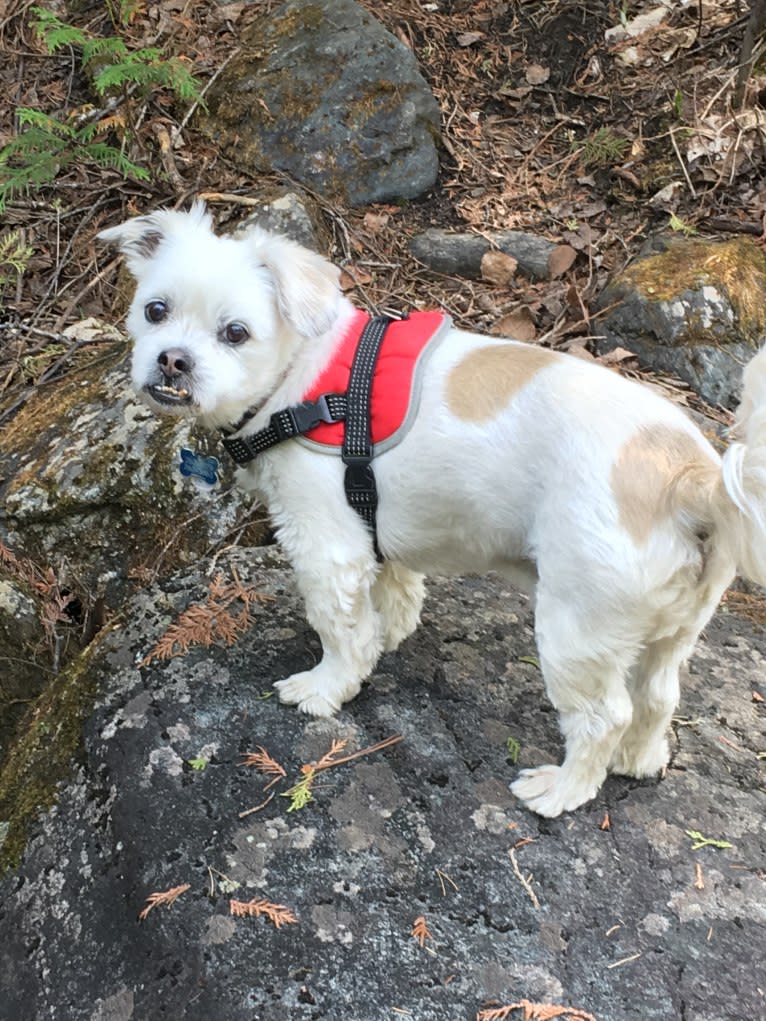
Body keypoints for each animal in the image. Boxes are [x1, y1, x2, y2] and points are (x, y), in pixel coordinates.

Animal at [99, 203, 766, 816]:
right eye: (155, 310)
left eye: (235, 333)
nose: (173, 360)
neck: (303, 381)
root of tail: (688, 477)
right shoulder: (373, 522)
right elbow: (392, 596)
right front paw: (386, 637)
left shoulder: (326, 542)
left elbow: (339, 629)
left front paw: (327, 685)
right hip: (675, 626)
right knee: (659, 697)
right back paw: (639, 759)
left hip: (578, 624)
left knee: (605, 714)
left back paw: (564, 789)